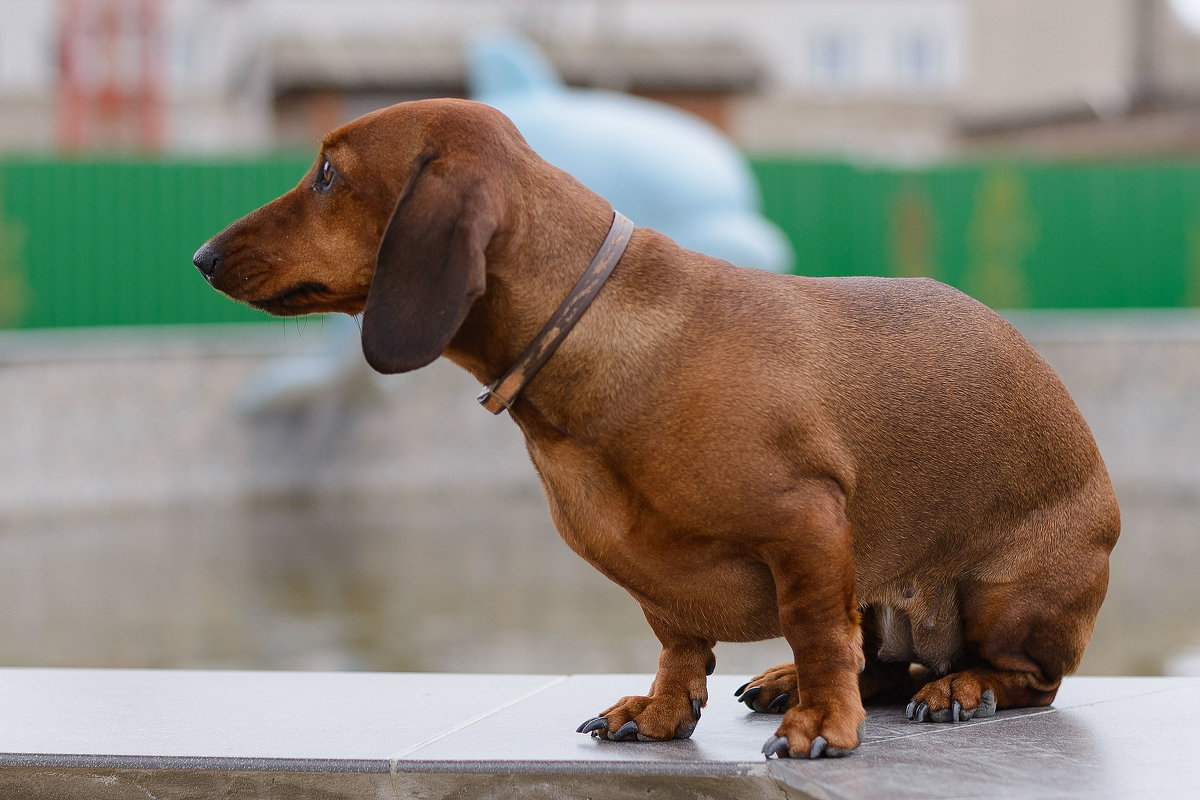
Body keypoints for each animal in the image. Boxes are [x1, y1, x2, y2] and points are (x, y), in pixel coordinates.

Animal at [192, 98, 1118, 758]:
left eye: (325, 175)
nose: (201, 255)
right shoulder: (656, 579)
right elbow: (679, 642)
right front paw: (664, 710)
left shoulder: (810, 524)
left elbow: (818, 629)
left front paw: (824, 724)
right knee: (883, 663)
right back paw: (787, 680)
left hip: (1001, 593)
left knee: (1024, 678)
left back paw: (961, 687)